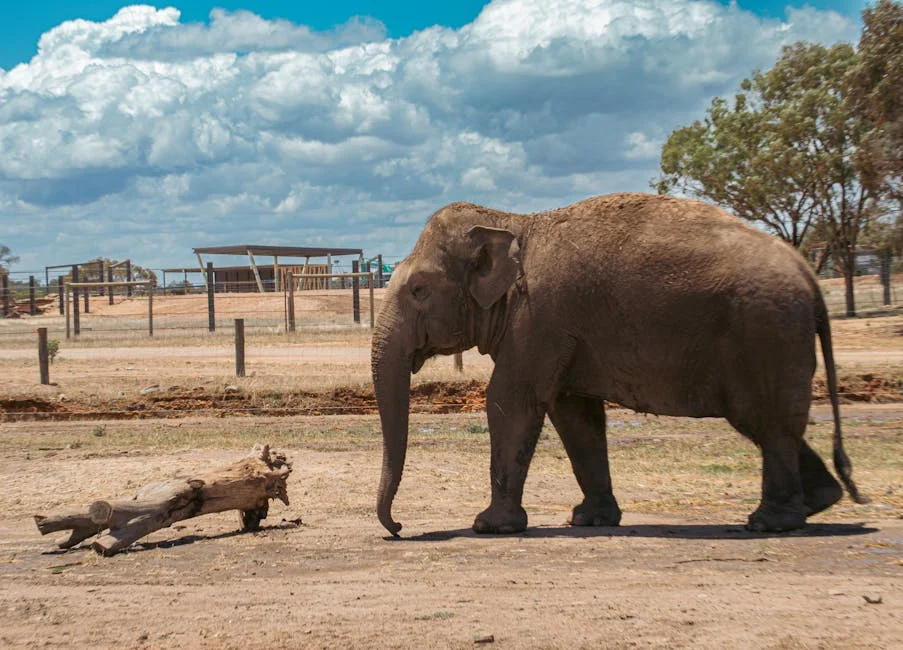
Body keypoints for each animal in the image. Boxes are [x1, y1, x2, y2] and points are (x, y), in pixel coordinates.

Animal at [371, 192, 866, 537]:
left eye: (418, 290)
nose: (399, 528)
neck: (511, 222)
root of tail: (807, 274)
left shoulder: (539, 320)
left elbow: (511, 401)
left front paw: (489, 526)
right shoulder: (562, 333)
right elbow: (574, 413)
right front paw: (590, 520)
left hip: (766, 332)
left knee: (765, 420)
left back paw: (770, 522)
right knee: (769, 423)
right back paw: (817, 502)